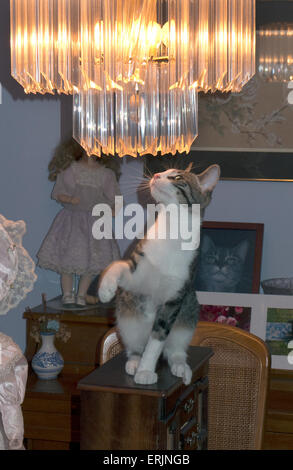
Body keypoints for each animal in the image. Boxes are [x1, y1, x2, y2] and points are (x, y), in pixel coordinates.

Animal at [98, 164, 219, 386]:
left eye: (177, 177)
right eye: (164, 171)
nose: (155, 175)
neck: (171, 231)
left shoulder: (176, 297)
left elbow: (158, 337)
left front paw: (146, 371)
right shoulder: (137, 272)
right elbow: (118, 266)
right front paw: (106, 288)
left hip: (188, 314)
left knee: (174, 349)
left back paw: (180, 365)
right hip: (127, 318)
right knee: (134, 346)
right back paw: (134, 361)